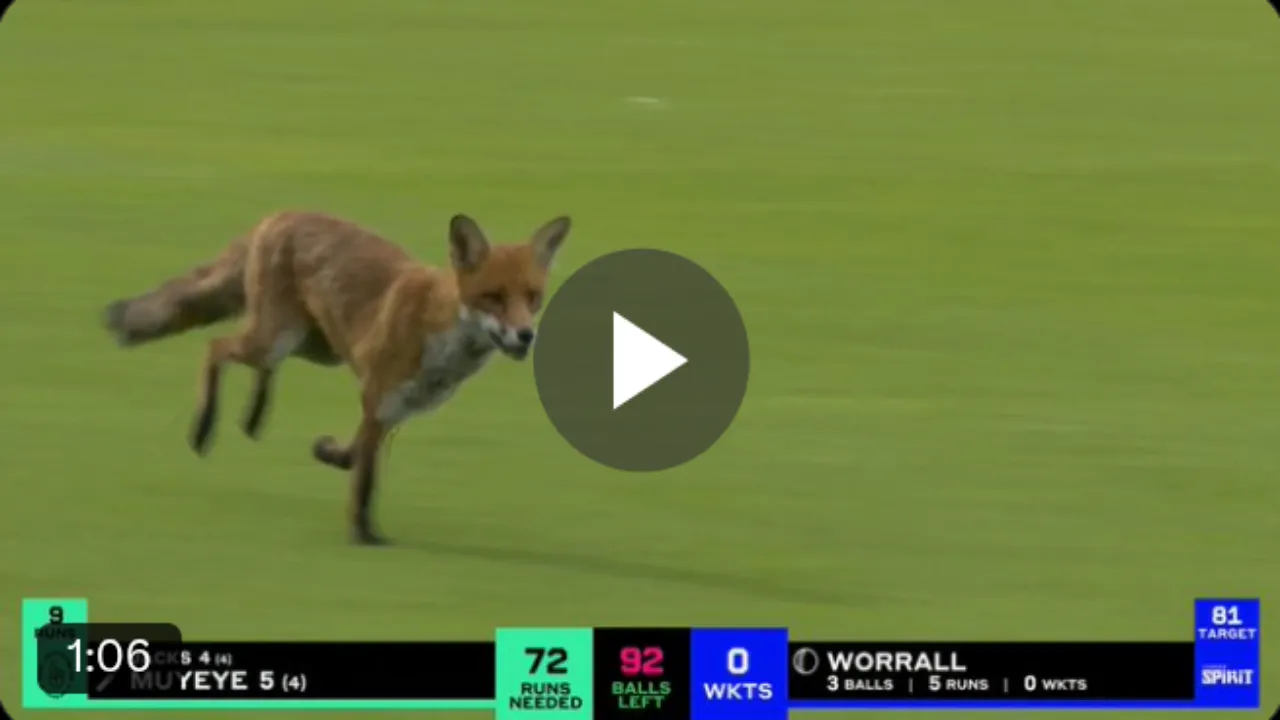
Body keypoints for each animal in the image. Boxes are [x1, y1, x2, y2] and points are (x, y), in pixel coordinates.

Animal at [102, 211, 571, 545]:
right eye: (493, 298)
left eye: (532, 298)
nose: (525, 335)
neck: (442, 336)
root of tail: (280, 214)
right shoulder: (378, 397)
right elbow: (364, 481)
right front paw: (363, 535)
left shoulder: (392, 410)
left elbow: (357, 457)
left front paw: (330, 454)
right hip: (277, 337)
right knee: (216, 348)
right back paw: (204, 427)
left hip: (311, 346)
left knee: (260, 366)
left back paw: (253, 417)